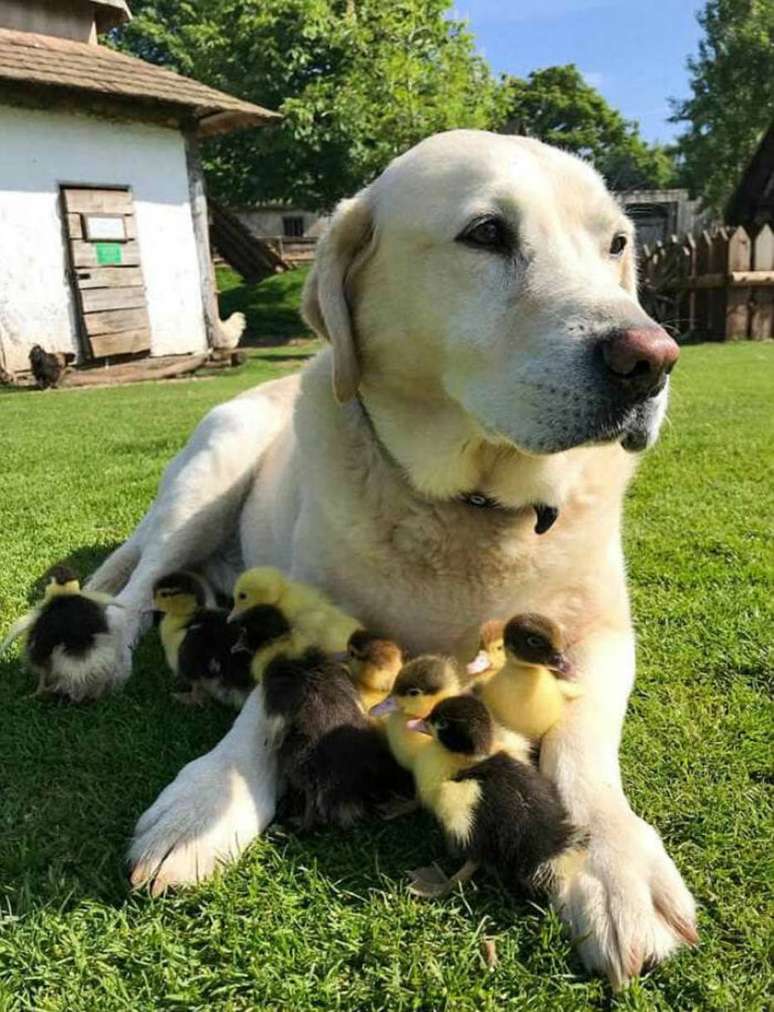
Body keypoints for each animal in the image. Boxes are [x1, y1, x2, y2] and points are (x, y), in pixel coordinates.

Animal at [82, 130, 696, 983]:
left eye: (615, 245)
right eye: (486, 234)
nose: (652, 359)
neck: (472, 507)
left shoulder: (606, 636)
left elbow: (581, 746)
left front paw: (615, 862)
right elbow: (259, 711)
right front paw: (205, 801)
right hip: (211, 468)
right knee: (137, 585)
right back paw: (105, 649)